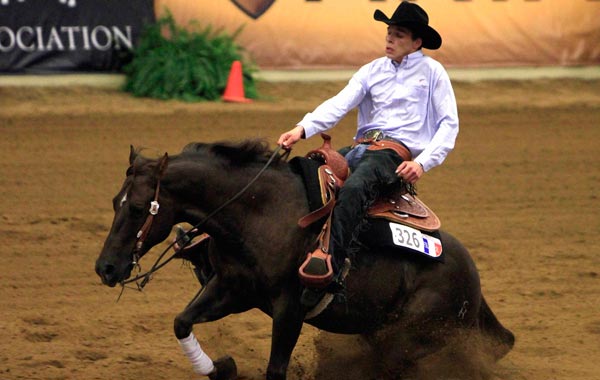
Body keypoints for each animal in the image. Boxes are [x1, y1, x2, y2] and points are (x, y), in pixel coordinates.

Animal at [95, 140, 516, 380]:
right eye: (115, 201)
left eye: (137, 208)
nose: (106, 268)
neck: (260, 213)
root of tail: (472, 277)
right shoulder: (230, 288)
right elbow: (182, 322)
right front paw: (223, 368)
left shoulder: (290, 309)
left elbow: (276, 369)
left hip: (409, 336)